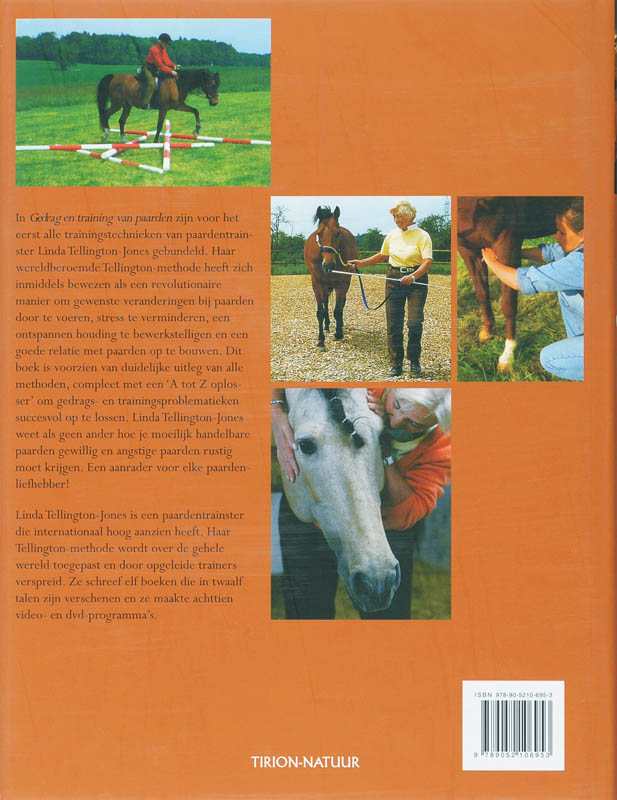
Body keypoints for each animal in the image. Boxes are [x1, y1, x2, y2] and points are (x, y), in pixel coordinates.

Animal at [303, 206, 358, 347]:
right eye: (319, 233)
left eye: (338, 233)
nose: (328, 264)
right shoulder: (317, 283)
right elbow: (320, 312)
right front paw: (321, 340)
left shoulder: (342, 283)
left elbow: (338, 310)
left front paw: (339, 333)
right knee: (326, 302)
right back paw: (327, 325)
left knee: (341, 304)